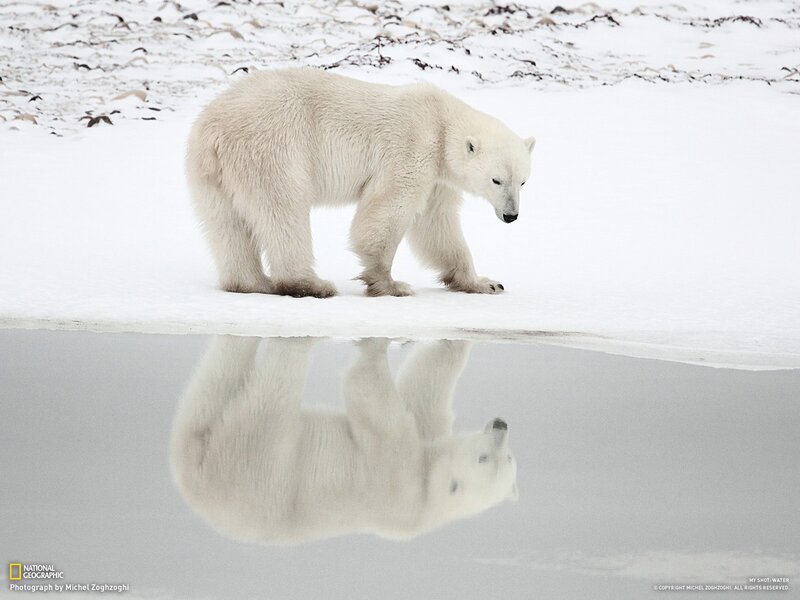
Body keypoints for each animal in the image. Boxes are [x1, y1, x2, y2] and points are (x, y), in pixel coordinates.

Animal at [170, 336, 518, 544]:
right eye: (492, 457)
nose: (501, 425)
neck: (428, 500)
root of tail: (197, 483)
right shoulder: (422, 445)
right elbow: (422, 392)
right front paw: (454, 343)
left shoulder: (397, 482)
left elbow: (371, 400)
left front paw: (374, 347)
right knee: (209, 392)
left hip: (265, 469)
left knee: (271, 394)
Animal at [186, 67, 535, 298]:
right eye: (496, 180)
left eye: (523, 182)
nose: (511, 216)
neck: (441, 120)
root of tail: (215, 130)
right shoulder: (412, 147)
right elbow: (389, 208)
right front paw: (390, 284)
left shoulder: (438, 176)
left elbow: (436, 225)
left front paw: (485, 283)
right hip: (271, 147)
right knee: (283, 212)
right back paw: (310, 284)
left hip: (208, 173)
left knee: (226, 224)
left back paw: (250, 284)